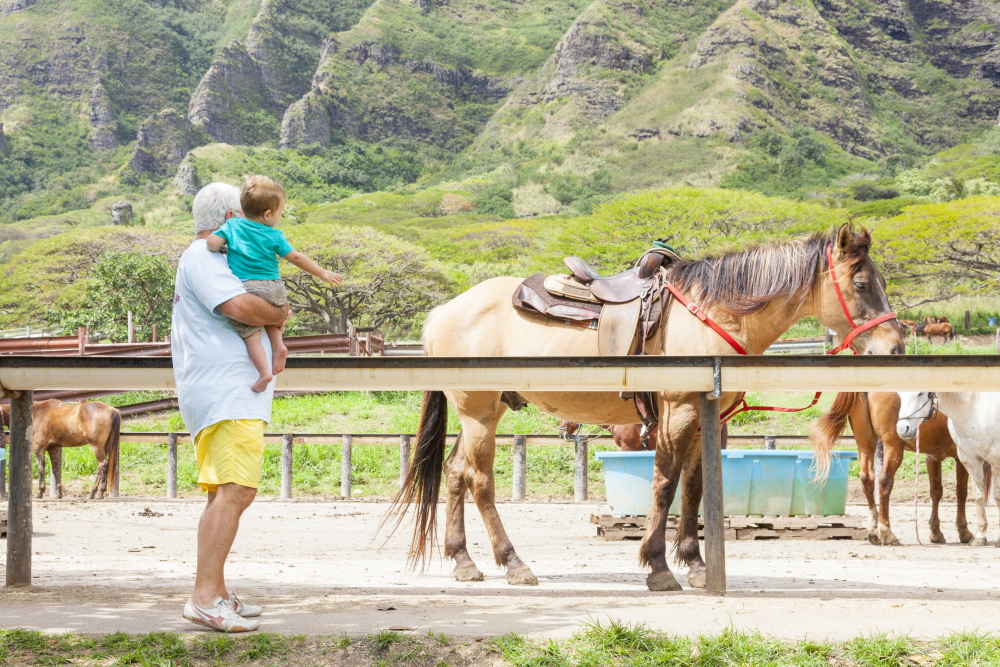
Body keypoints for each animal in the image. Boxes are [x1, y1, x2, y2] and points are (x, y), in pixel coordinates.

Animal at [386, 223, 904, 588]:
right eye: (861, 284)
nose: (896, 348)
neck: (712, 313)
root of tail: (443, 312)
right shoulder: (676, 413)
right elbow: (664, 484)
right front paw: (658, 566)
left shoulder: (706, 418)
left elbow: (694, 490)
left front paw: (695, 563)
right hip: (477, 412)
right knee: (479, 481)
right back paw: (513, 563)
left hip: (484, 412)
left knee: (455, 473)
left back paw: (463, 561)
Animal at [816, 394, 972, 544]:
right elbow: (962, 492)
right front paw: (965, 532)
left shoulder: (932, 457)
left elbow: (936, 492)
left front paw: (936, 533)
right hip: (892, 445)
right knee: (884, 479)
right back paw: (887, 532)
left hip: (865, 442)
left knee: (867, 478)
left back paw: (874, 529)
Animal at [900, 394, 1000, 544]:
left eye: (920, 394)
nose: (902, 429)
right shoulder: (967, 459)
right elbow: (974, 495)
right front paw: (977, 536)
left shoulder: (991, 459)